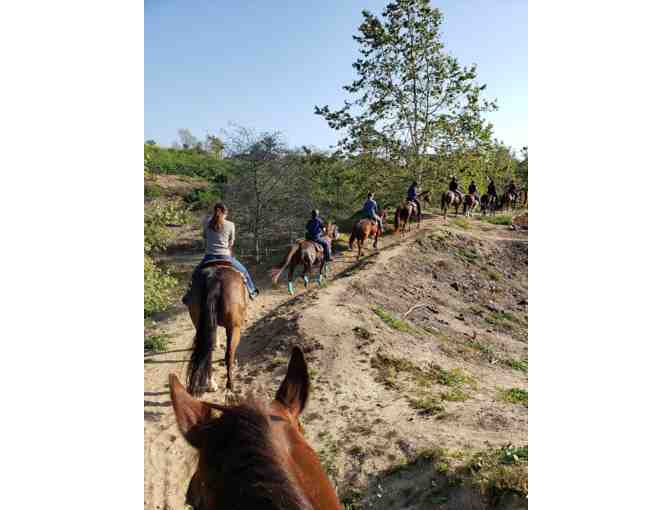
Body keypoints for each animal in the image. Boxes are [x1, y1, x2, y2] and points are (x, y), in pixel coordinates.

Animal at [186, 263, 248, 396]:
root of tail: (214, 278)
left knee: (207, 353)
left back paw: (211, 385)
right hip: (234, 327)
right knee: (229, 353)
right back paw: (230, 385)